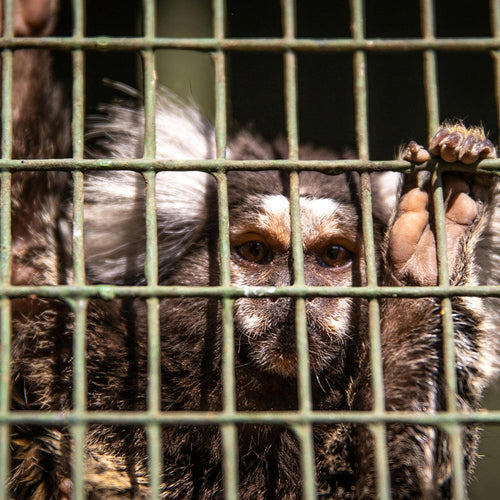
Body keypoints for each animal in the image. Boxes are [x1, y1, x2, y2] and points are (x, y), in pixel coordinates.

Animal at [5, 1, 500, 499]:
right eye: (256, 251)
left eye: (333, 256)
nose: (295, 294)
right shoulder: (66, 337)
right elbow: (20, 258)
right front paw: (24, 29)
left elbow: (402, 479)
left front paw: (427, 252)